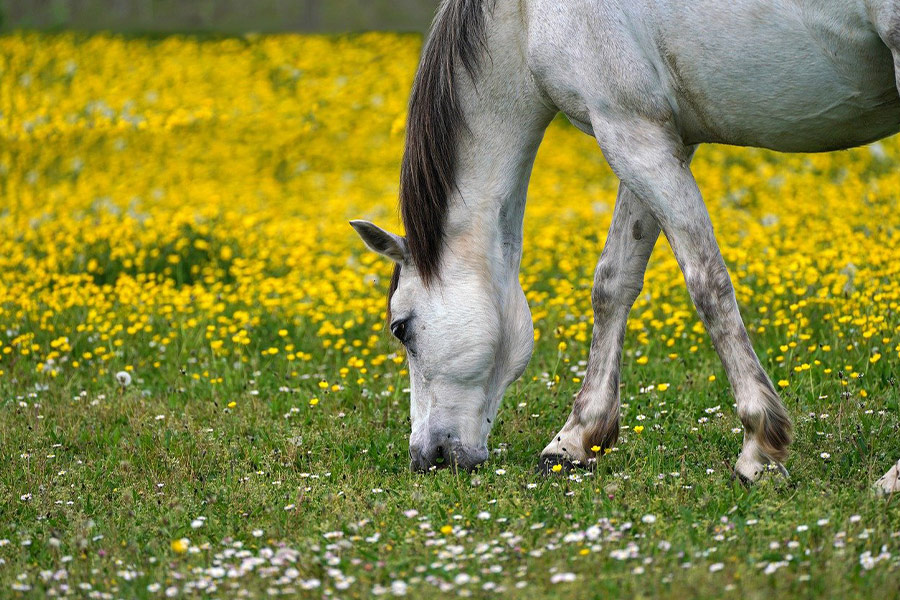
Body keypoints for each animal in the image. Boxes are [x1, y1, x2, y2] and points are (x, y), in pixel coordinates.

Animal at [350, 0, 900, 492]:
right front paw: (574, 441)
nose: (427, 458)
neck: (525, 14)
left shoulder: (629, 130)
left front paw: (758, 450)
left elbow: (707, 282)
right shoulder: (650, 136)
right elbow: (613, 282)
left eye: (400, 328)